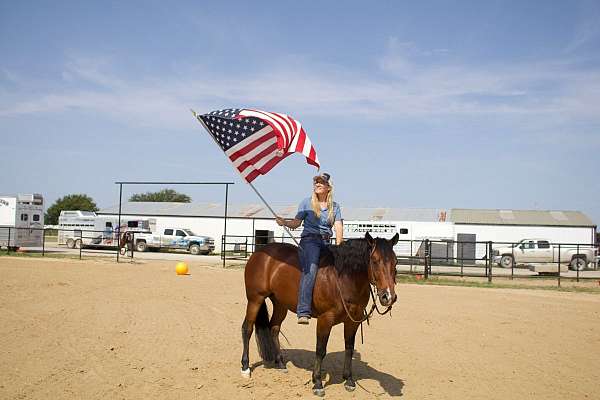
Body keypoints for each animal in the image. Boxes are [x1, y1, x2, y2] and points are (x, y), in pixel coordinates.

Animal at [239, 231, 398, 396]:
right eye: (374, 260)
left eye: (396, 262)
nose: (388, 296)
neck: (342, 279)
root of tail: (260, 252)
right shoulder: (325, 320)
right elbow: (320, 350)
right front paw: (317, 383)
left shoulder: (352, 320)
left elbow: (349, 348)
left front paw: (348, 379)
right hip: (255, 299)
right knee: (247, 329)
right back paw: (245, 367)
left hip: (280, 303)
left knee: (274, 328)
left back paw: (281, 364)